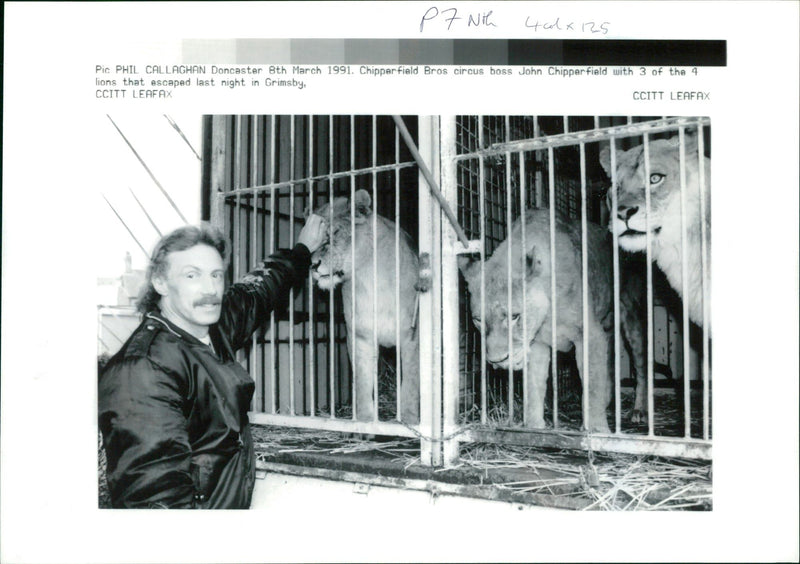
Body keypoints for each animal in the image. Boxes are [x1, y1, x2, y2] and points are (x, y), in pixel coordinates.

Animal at [308, 188, 422, 424]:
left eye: (333, 234)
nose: (312, 265)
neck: (368, 276)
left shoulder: (412, 335)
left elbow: (411, 380)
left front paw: (408, 419)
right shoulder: (360, 336)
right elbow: (361, 381)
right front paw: (366, 422)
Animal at [456, 209, 612, 434]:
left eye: (514, 316)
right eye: (478, 320)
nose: (496, 360)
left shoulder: (590, 334)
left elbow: (593, 383)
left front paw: (597, 429)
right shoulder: (537, 344)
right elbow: (534, 386)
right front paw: (534, 426)